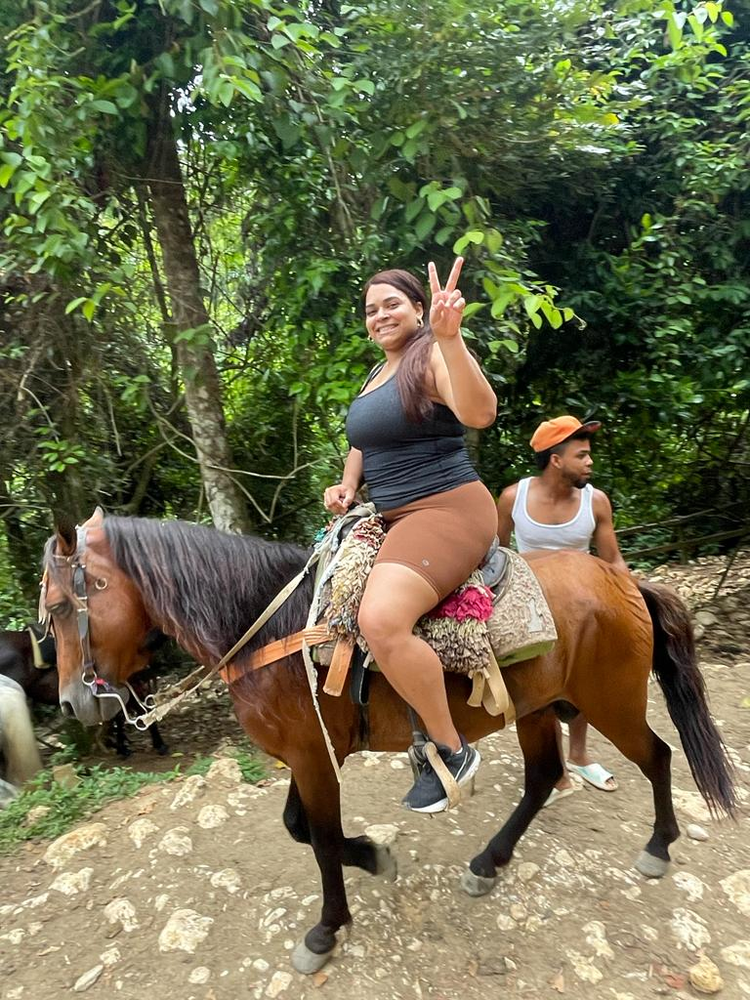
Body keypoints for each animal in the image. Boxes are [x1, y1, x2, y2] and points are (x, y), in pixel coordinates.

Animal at [44, 512, 736, 972]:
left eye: (57, 609)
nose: (74, 703)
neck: (271, 630)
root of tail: (623, 581)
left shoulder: (314, 757)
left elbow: (320, 839)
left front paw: (326, 929)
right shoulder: (306, 756)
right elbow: (300, 827)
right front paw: (373, 857)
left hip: (611, 701)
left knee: (657, 756)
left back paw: (658, 846)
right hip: (538, 707)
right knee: (544, 776)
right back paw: (489, 863)